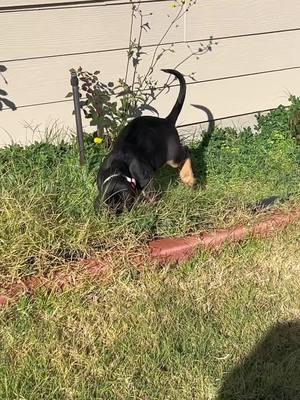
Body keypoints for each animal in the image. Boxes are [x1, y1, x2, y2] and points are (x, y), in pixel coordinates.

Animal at [95, 69, 196, 214]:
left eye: (124, 205)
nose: (118, 216)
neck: (117, 169)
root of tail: (166, 121)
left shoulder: (146, 179)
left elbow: (150, 196)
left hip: (173, 156)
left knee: (186, 151)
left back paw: (188, 178)